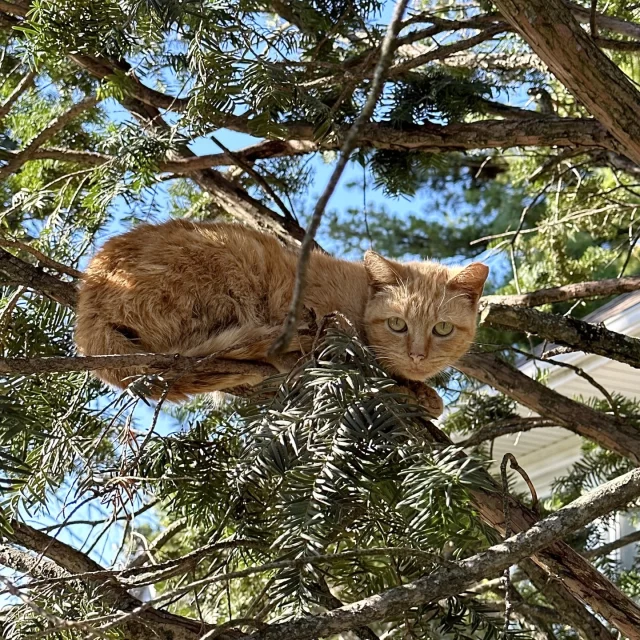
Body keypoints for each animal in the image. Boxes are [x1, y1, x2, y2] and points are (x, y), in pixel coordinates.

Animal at [75, 219, 488, 400]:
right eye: (398, 325)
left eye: (442, 329)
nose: (418, 356)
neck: (360, 299)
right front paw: (415, 392)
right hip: (234, 259)